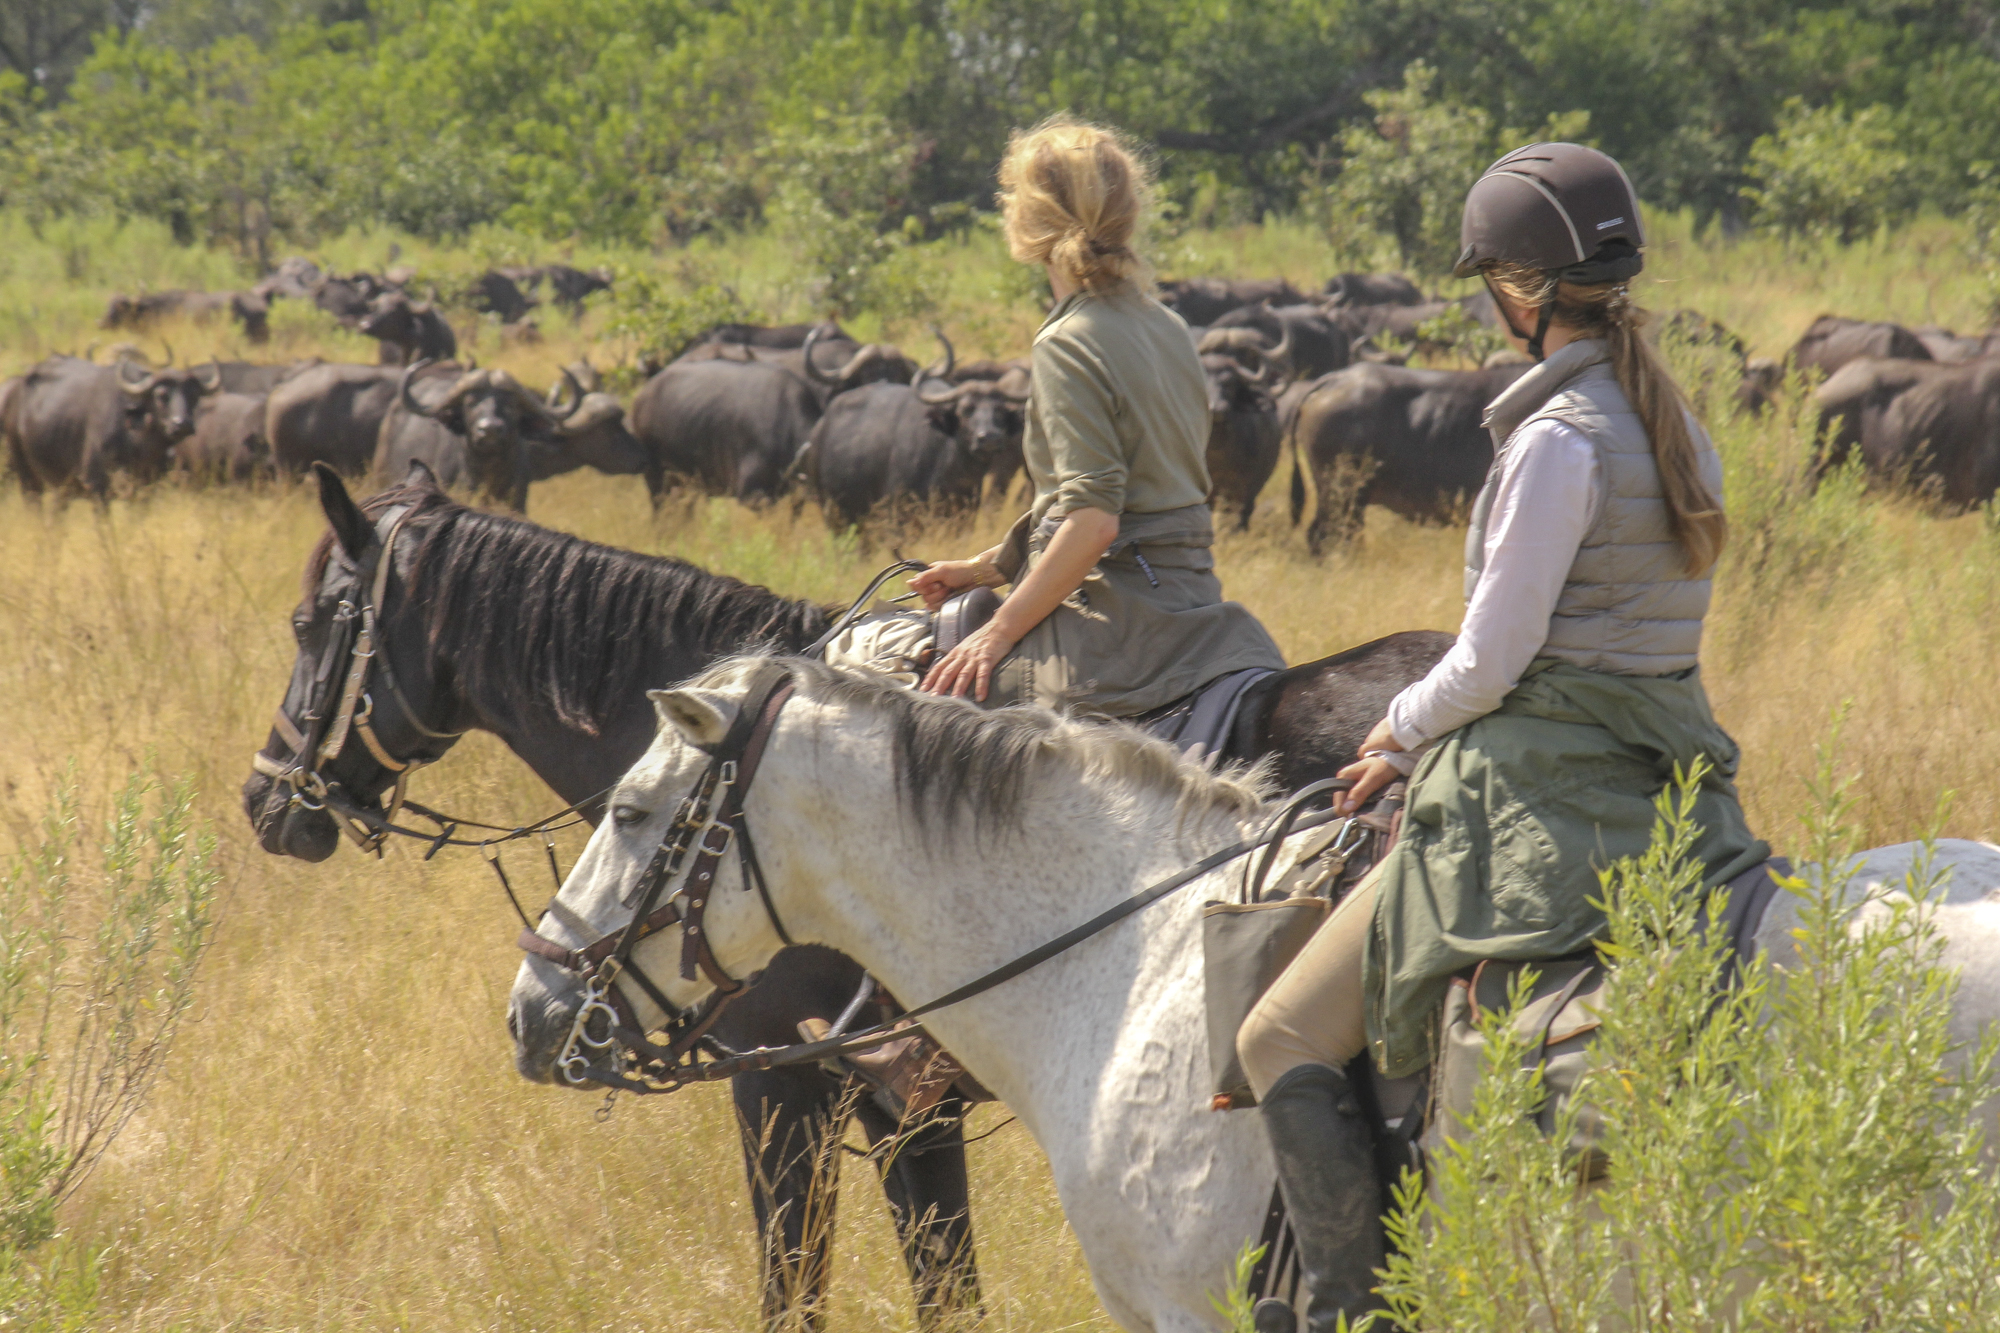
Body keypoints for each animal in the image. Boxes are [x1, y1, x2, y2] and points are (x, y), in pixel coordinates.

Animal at [3, 352, 221, 498]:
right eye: (161, 395)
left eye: (193, 396)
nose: (182, 424)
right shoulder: (96, 484)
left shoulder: (145, 487)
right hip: (27, 477)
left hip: (61, 485)